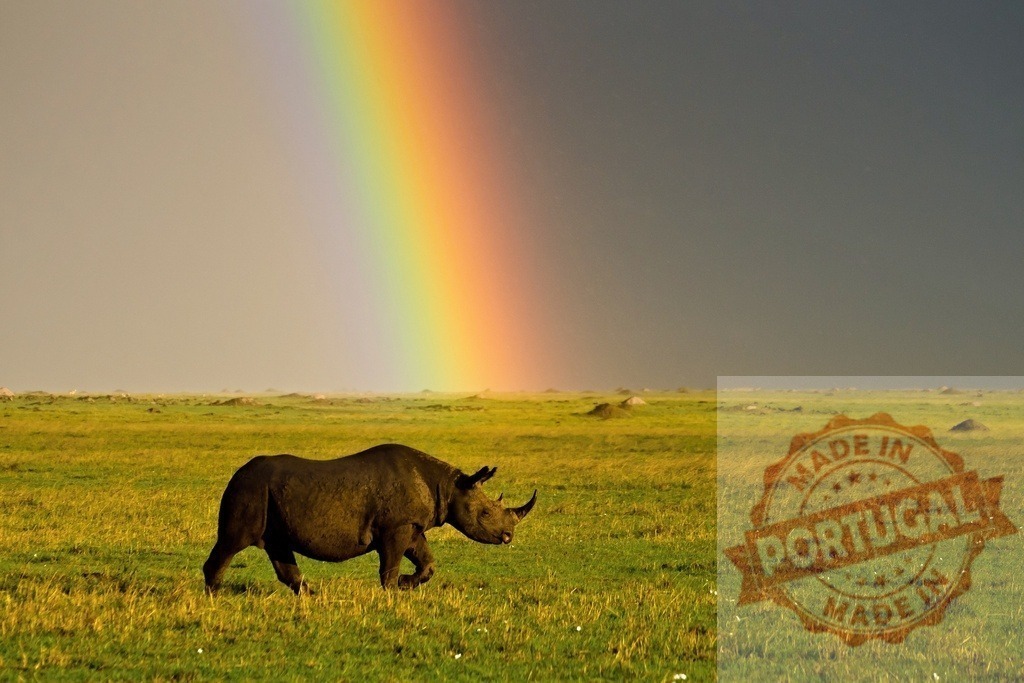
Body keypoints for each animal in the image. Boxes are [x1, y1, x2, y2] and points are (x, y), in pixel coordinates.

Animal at [203, 443, 536, 593]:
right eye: (485, 514)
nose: (508, 537)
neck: (449, 486)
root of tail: (237, 474)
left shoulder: (411, 525)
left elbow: (427, 562)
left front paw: (406, 584)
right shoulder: (395, 526)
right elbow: (389, 565)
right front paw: (393, 590)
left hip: (267, 496)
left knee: (278, 546)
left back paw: (312, 596)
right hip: (249, 491)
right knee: (233, 542)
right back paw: (214, 596)